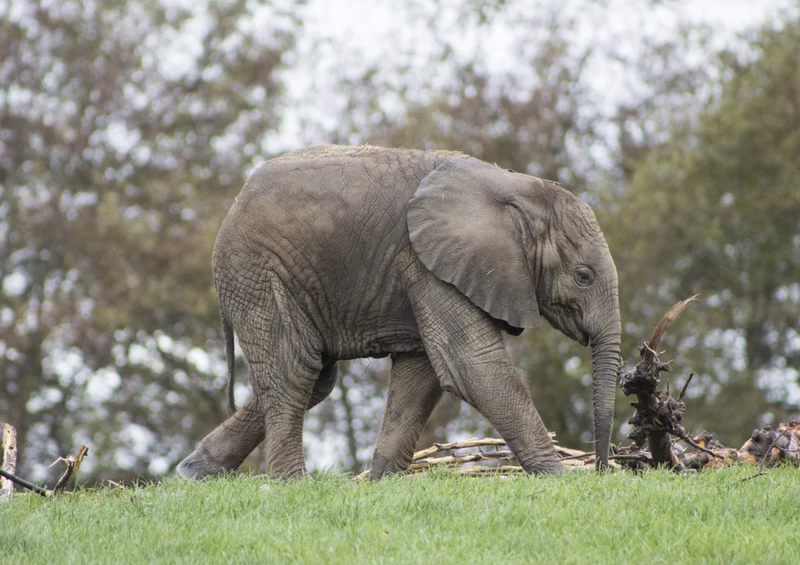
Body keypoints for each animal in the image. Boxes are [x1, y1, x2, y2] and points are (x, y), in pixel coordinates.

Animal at [176, 145, 621, 480]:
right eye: (583, 276)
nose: (603, 468)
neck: (517, 187)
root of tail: (233, 205)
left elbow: (420, 376)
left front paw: (380, 482)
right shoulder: (427, 263)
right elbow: (472, 365)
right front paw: (560, 478)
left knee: (314, 376)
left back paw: (194, 472)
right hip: (258, 270)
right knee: (295, 370)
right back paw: (293, 484)